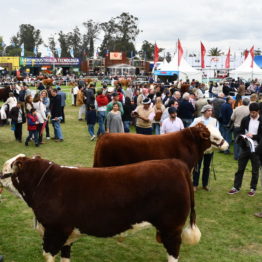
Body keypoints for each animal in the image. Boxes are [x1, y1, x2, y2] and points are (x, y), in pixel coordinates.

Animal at [0, 155, 201, 262]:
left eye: (5, 169)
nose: (0, 176)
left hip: (171, 228)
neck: (45, 184)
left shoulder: (54, 232)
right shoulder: (67, 234)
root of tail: (175, 163)